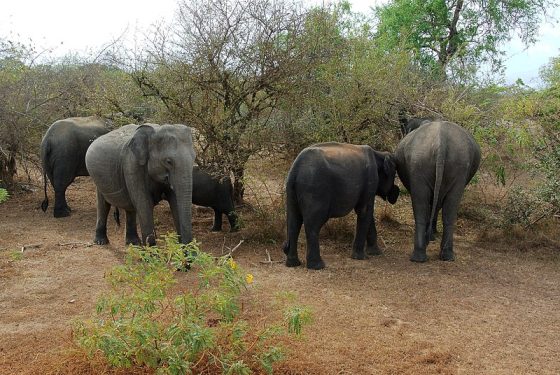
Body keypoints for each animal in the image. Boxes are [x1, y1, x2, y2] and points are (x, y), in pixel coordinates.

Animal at [282, 142, 400, 270]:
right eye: (394, 175)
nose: (396, 193)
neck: (379, 153)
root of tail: (295, 169)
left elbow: (366, 212)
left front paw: (375, 253)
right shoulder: (371, 180)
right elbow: (365, 211)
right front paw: (361, 257)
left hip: (292, 190)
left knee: (294, 222)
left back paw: (292, 263)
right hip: (315, 190)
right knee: (313, 225)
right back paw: (317, 266)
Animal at [394, 122, 482, 262]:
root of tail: (441, 140)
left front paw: (432, 235)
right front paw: (432, 235)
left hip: (426, 162)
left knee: (425, 204)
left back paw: (427, 255)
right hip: (449, 163)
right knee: (445, 207)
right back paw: (440, 255)